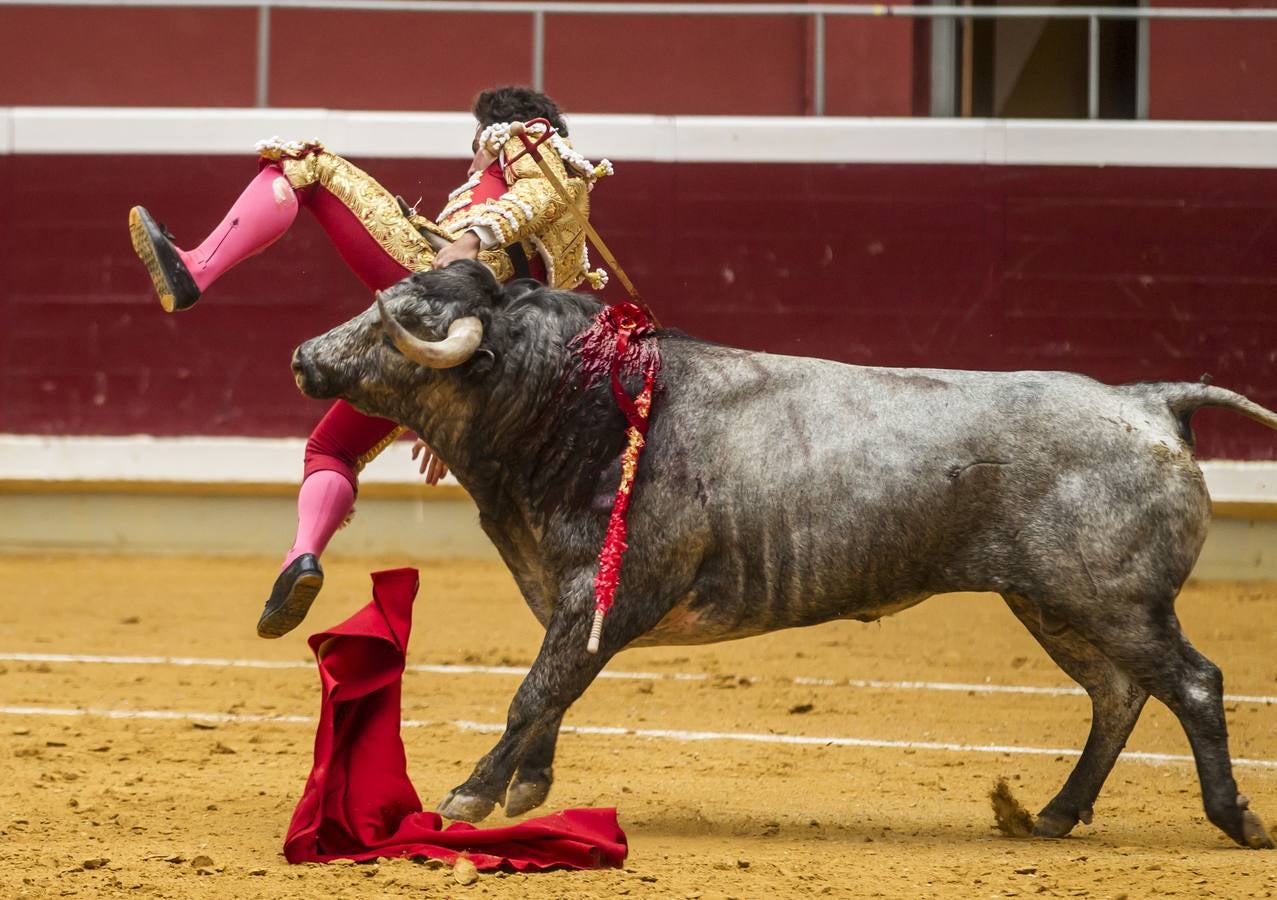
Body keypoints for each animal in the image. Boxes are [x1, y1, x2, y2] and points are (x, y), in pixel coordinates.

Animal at [292, 256, 1277, 847]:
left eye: (398, 324)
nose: (304, 357)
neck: (581, 408)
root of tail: (1148, 399)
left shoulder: (608, 594)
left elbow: (534, 691)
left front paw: (466, 797)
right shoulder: (573, 600)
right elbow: (554, 693)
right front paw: (529, 789)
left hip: (1111, 598)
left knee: (1189, 683)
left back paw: (1233, 820)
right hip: (1053, 603)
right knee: (1117, 693)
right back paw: (1053, 814)